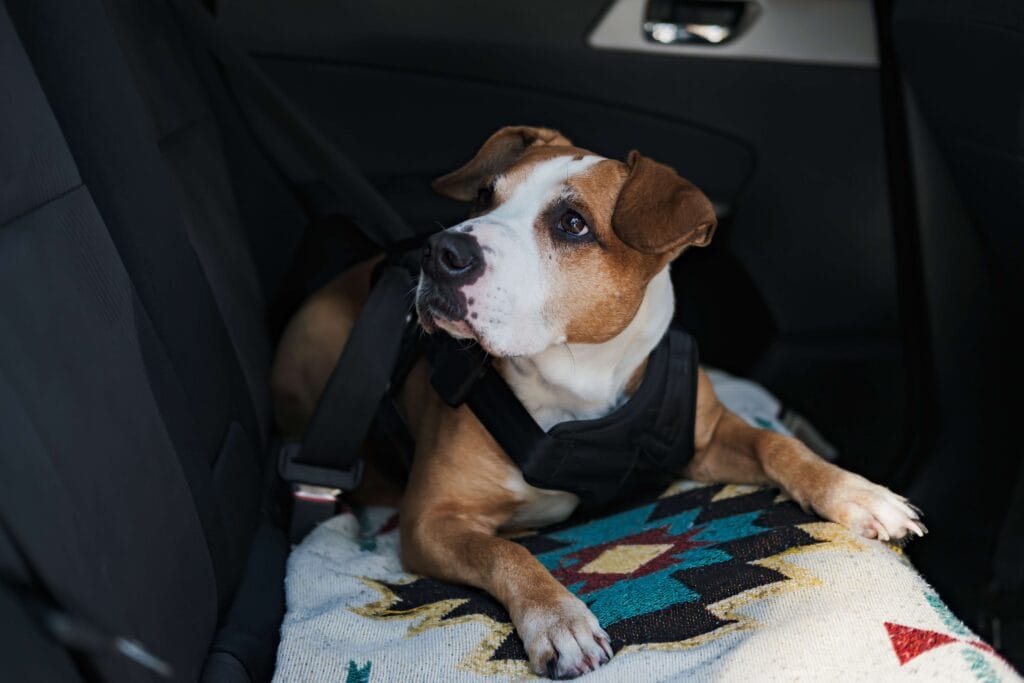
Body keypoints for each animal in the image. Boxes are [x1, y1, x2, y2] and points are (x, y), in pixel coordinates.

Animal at [271, 126, 925, 679]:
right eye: (485, 196)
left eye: (572, 224)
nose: (442, 252)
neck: (577, 381)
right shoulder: (431, 520)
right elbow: (504, 549)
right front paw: (557, 618)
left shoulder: (707, 436)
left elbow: (777, 445)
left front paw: (858, 493)